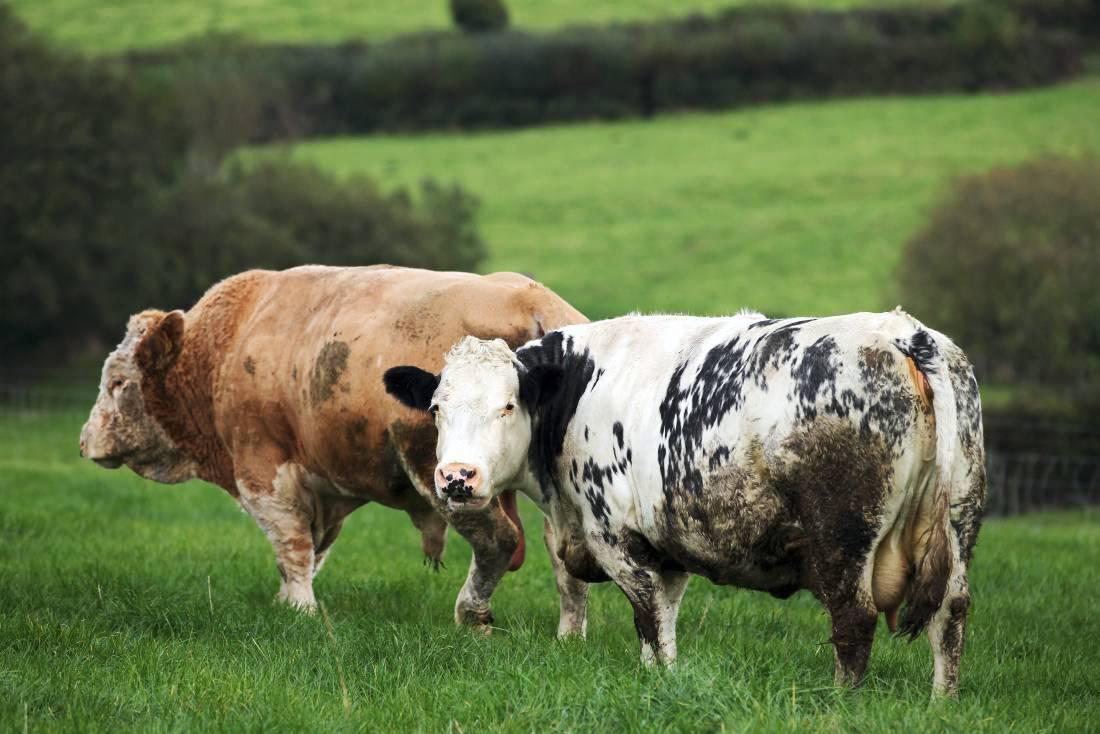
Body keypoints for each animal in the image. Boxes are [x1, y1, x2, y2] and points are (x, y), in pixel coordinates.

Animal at [76, 264, 589, 633]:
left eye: (118, 382)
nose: (84, 441)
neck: (224, 349)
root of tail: (532, 299)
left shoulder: (262, 471)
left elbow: (292, 545)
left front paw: (300, 610)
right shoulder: (323, 485)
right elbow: (310, 549)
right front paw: (287, 600)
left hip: (445, 476)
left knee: (497, 538)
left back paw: (472, 616)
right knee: (563, 550)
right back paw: (569, 633)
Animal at [382, 308, 985, 695]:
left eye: (508, 405)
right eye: (435, 408)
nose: (457, 477)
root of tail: (903, 332)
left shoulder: (617, 540)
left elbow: (649, 622)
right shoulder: (666, 553)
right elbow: (662, 628)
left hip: (842, 537)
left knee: (853, 621)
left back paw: (841, 705)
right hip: (958, 524)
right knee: (950, 615)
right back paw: (941, 704)